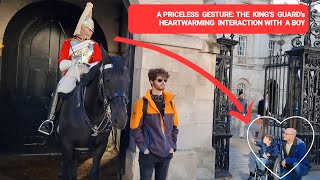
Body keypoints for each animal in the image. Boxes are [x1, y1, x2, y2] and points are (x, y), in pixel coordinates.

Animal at [55, 46, 130, 180]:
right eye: (107, 79)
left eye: (128, 80)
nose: (121, 119)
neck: (93, 114)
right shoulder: (67, 144)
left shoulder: (100, 146)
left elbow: (94, 172)